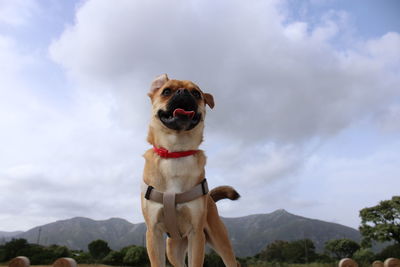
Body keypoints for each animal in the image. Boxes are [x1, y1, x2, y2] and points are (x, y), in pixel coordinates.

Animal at [141, 74, 241, 267]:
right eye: (166, 91)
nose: (183, 92)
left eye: (196, 93)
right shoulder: (153, 233)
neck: (176, 152)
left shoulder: (196, 234)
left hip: (220, 241)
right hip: (173, 249)